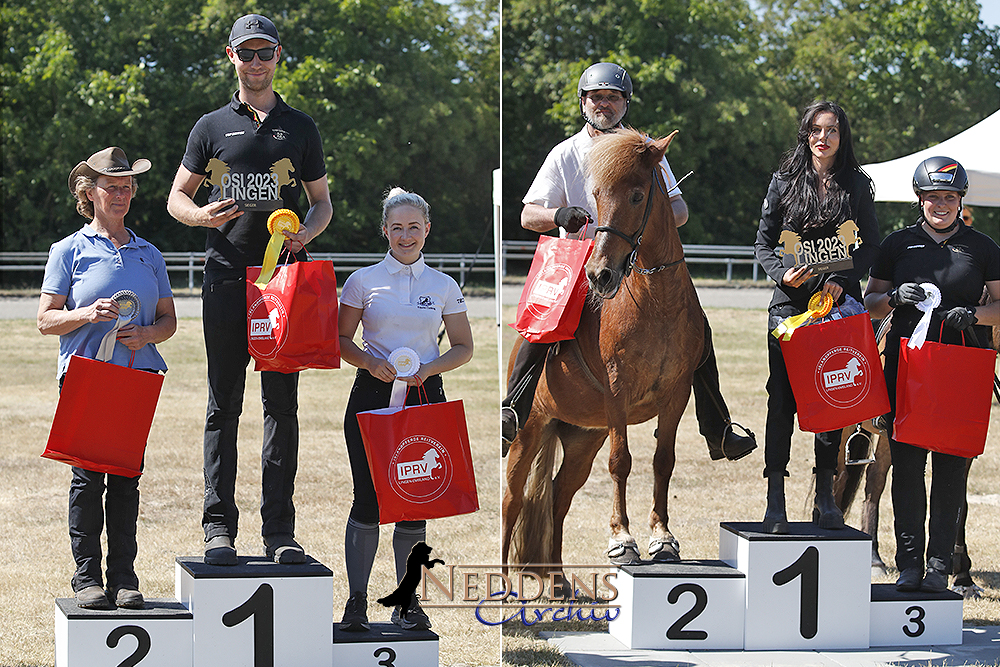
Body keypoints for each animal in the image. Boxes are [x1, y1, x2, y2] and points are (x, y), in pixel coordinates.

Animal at [500, 129, 704, 568]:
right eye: (595, 196)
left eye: (638, 195)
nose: (599, 275)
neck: (657, 303)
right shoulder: (617, 393)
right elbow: (620, 462)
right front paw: (622, 538)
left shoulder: (677, 395)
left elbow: (663, 461)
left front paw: (662, 536)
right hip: (529, 431)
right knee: (512, 502)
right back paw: (505, 579)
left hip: (582, 437)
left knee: (558, 496)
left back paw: (558, 577)